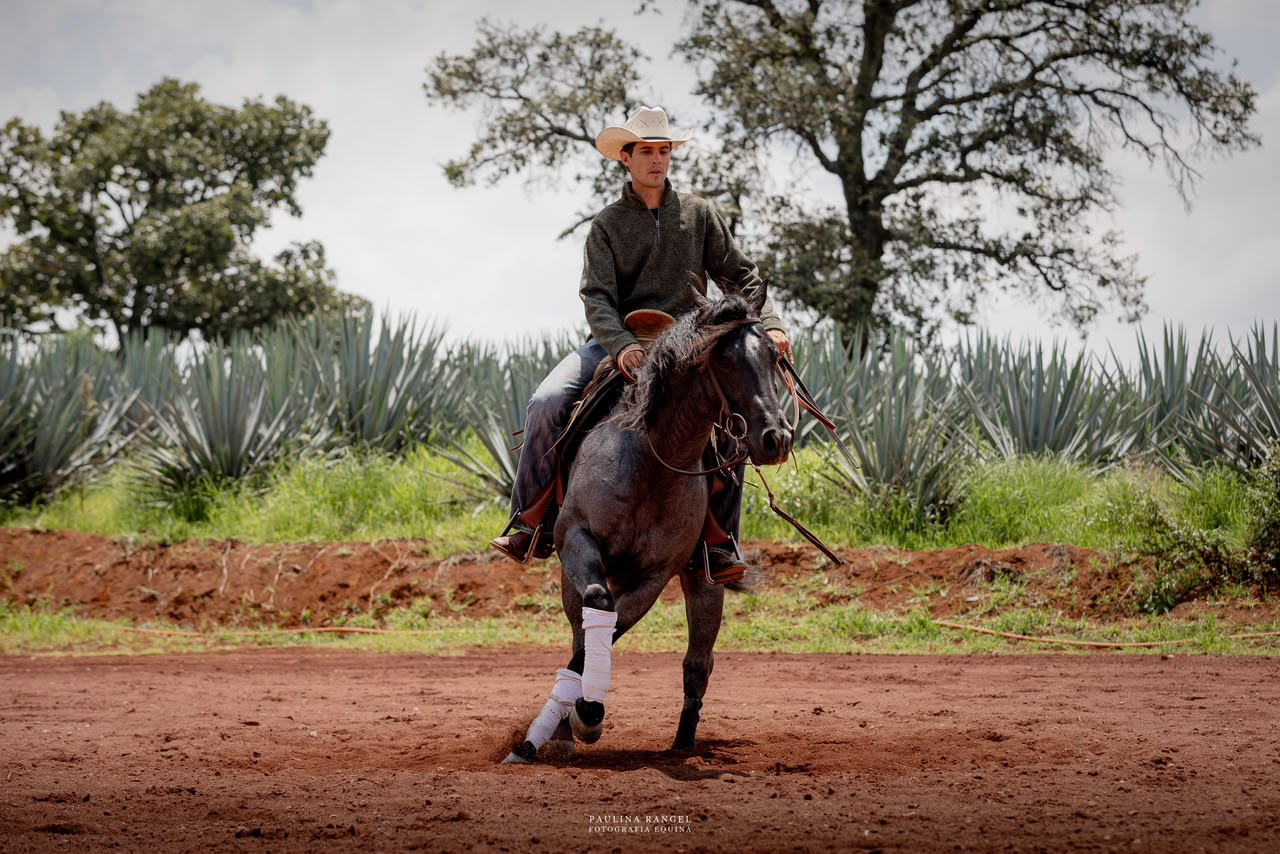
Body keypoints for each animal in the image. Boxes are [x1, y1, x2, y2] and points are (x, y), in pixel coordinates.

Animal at [503, 286, 793, 764]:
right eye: (724, 359)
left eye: (774, 355)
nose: (777, 438)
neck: (652, 458)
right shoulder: (577, 541)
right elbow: (597, 611)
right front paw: (566, 723)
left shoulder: (655, 575)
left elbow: (615, 623)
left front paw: (587, 713)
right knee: (581, 629)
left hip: (704, 579)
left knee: (697, 663)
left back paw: (682, 743)